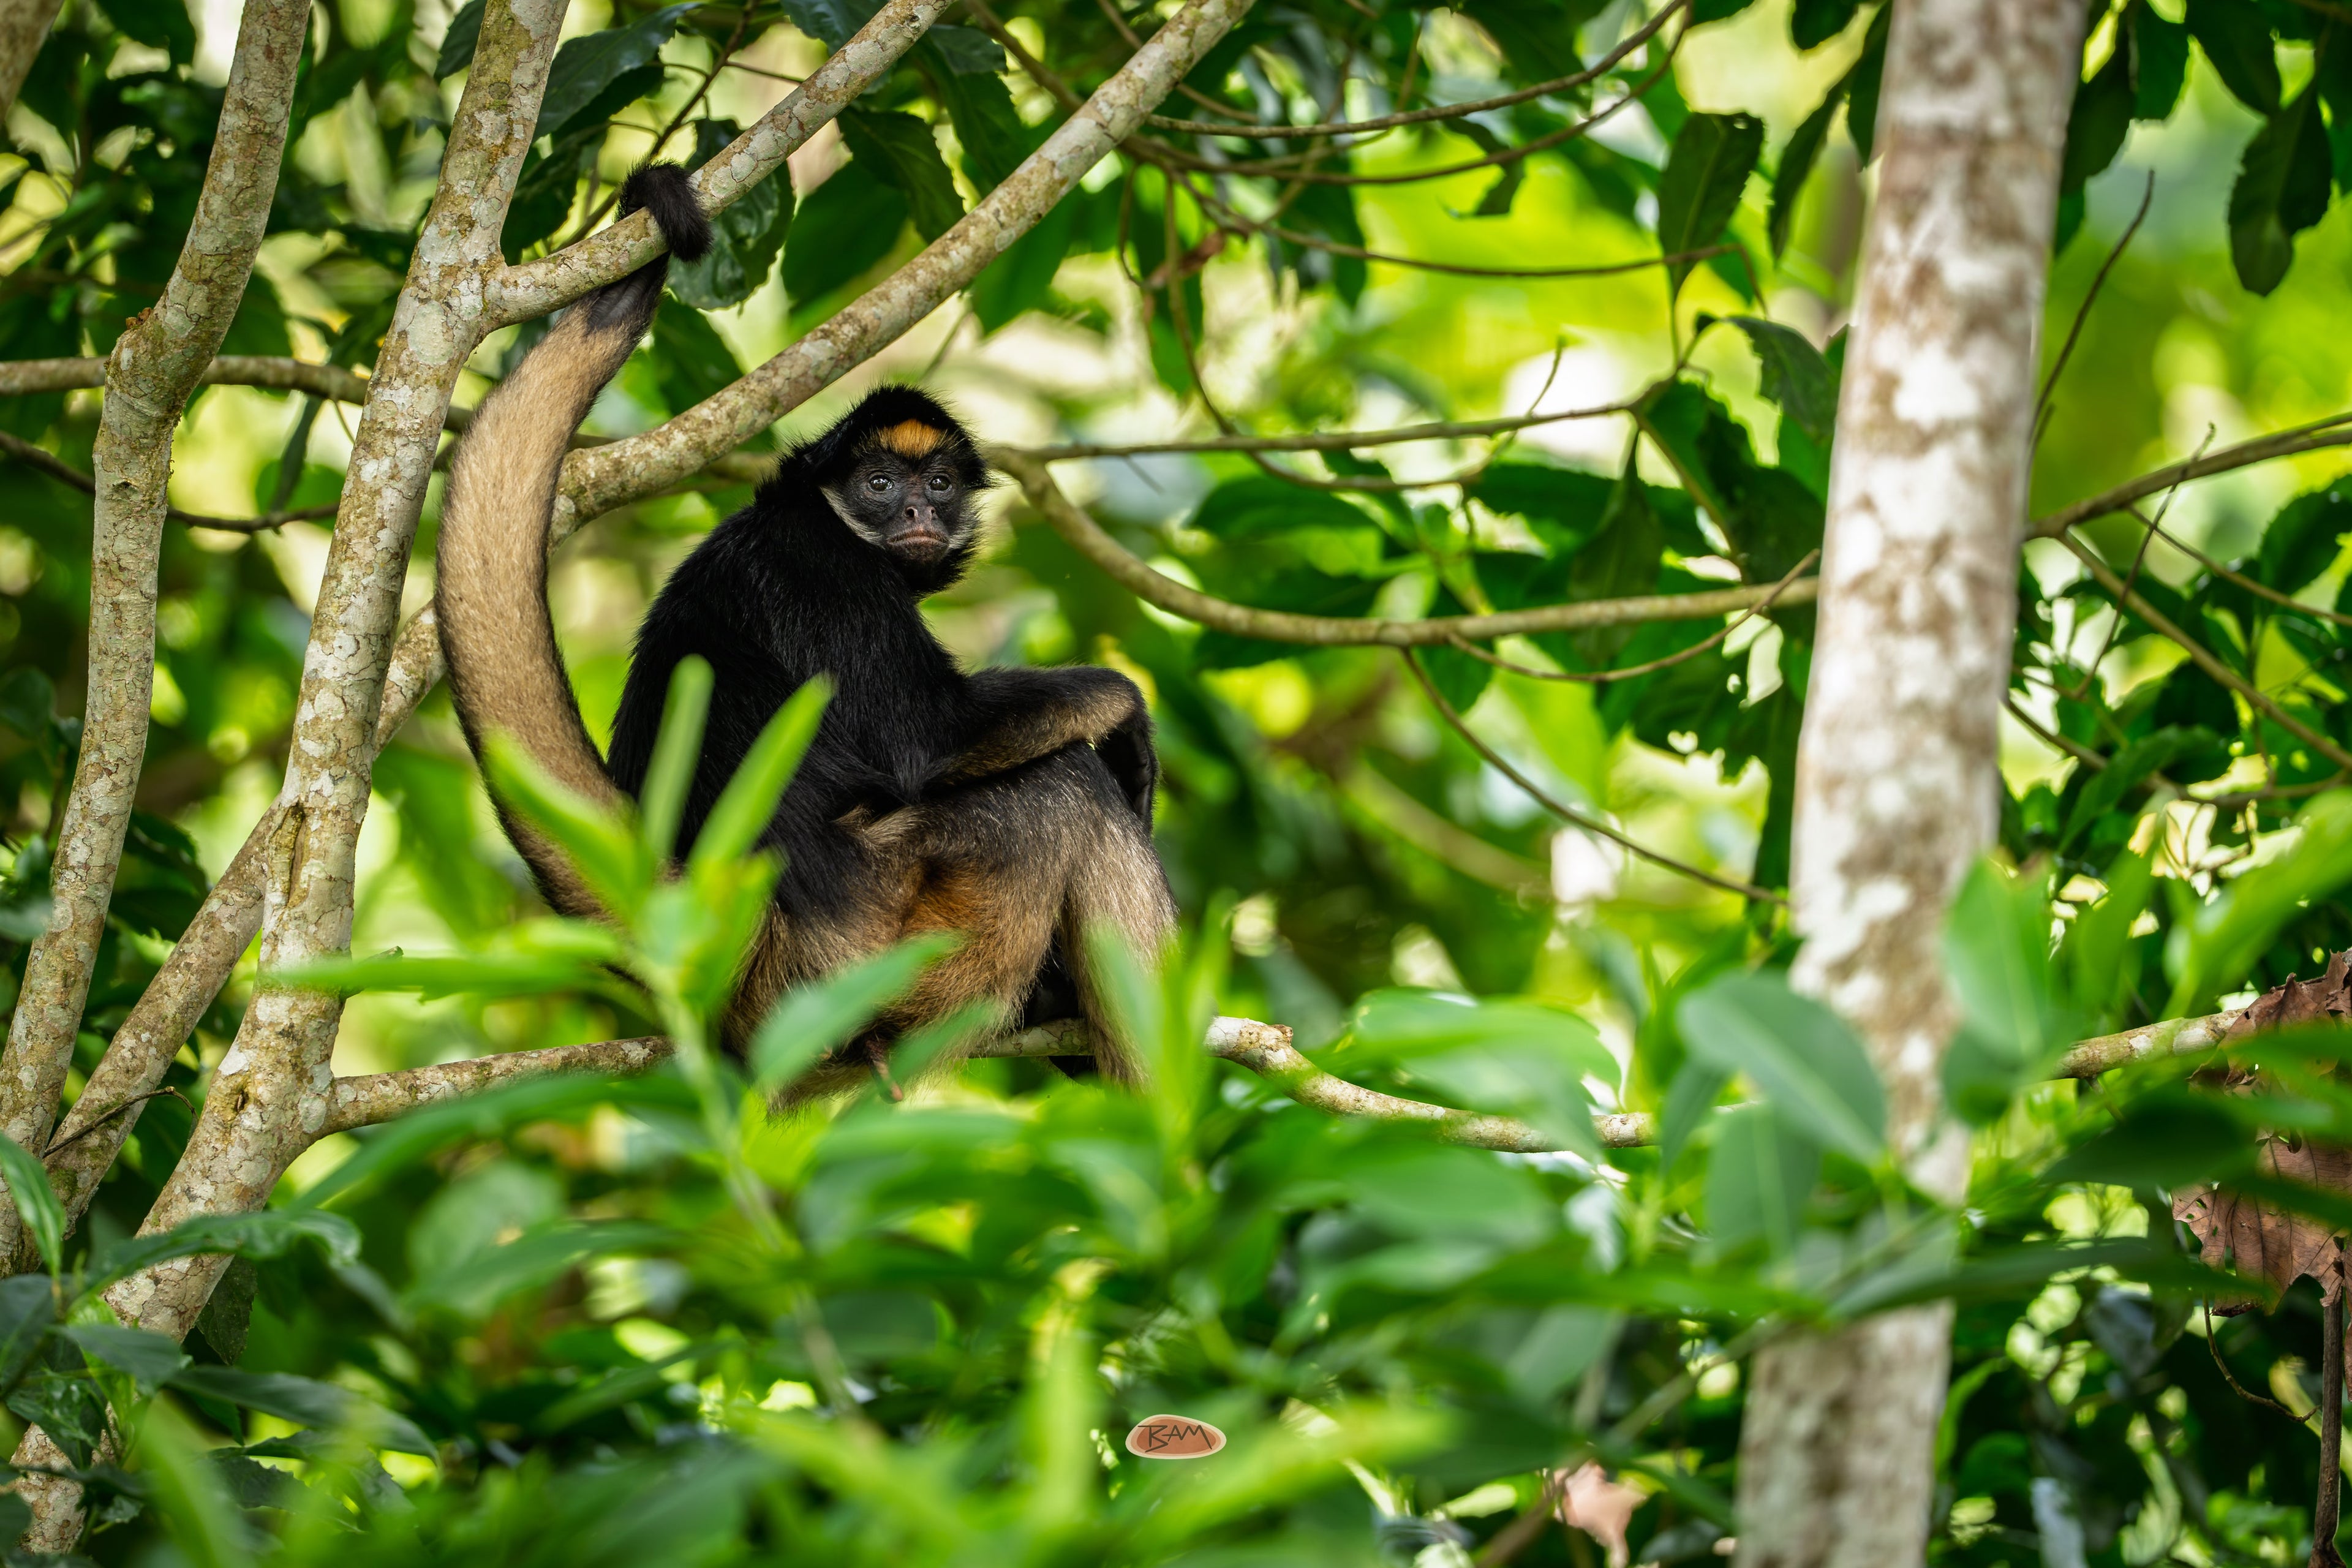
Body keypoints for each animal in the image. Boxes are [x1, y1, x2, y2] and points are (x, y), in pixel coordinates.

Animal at [435, 164, 1176, 1094]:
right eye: (878, 485)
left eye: (937, 483)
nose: (916, 514)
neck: (812, 513)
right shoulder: (827, 569)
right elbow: (930, 735)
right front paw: (1126, 711)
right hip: (888, 927)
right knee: (1061, 785)